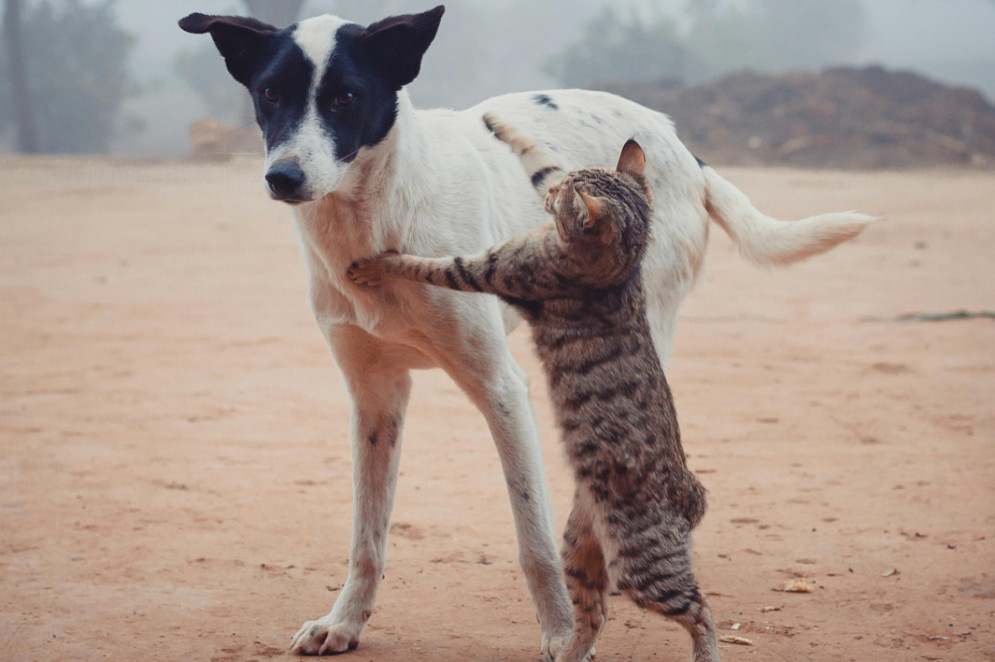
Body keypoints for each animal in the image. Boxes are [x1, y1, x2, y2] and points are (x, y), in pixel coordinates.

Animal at [346, 118, 720, 662]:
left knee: (699, 609)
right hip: (581, 549)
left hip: (642, 569)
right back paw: (568, 653)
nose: (549, 197)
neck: (620, 270)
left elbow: (425, 263)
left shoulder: (489, 269)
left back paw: (703, 650)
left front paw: (377, 263)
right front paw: (501, 128)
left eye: (562, 199)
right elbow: (537, 158)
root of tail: (691, 494)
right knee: (594, 614)